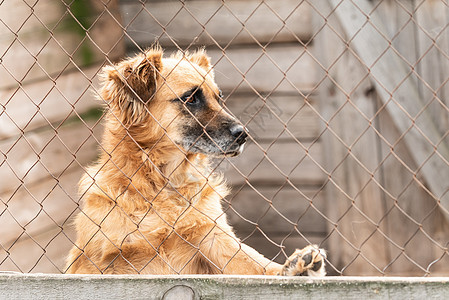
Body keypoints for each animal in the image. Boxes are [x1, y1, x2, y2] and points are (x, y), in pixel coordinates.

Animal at [65, 47, 326, 276]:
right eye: (191, 98)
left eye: (219, 98)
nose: (243, 134)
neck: (163, 185)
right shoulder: (101, 263)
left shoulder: (213, 236)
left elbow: (259, 266)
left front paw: (295, 268)